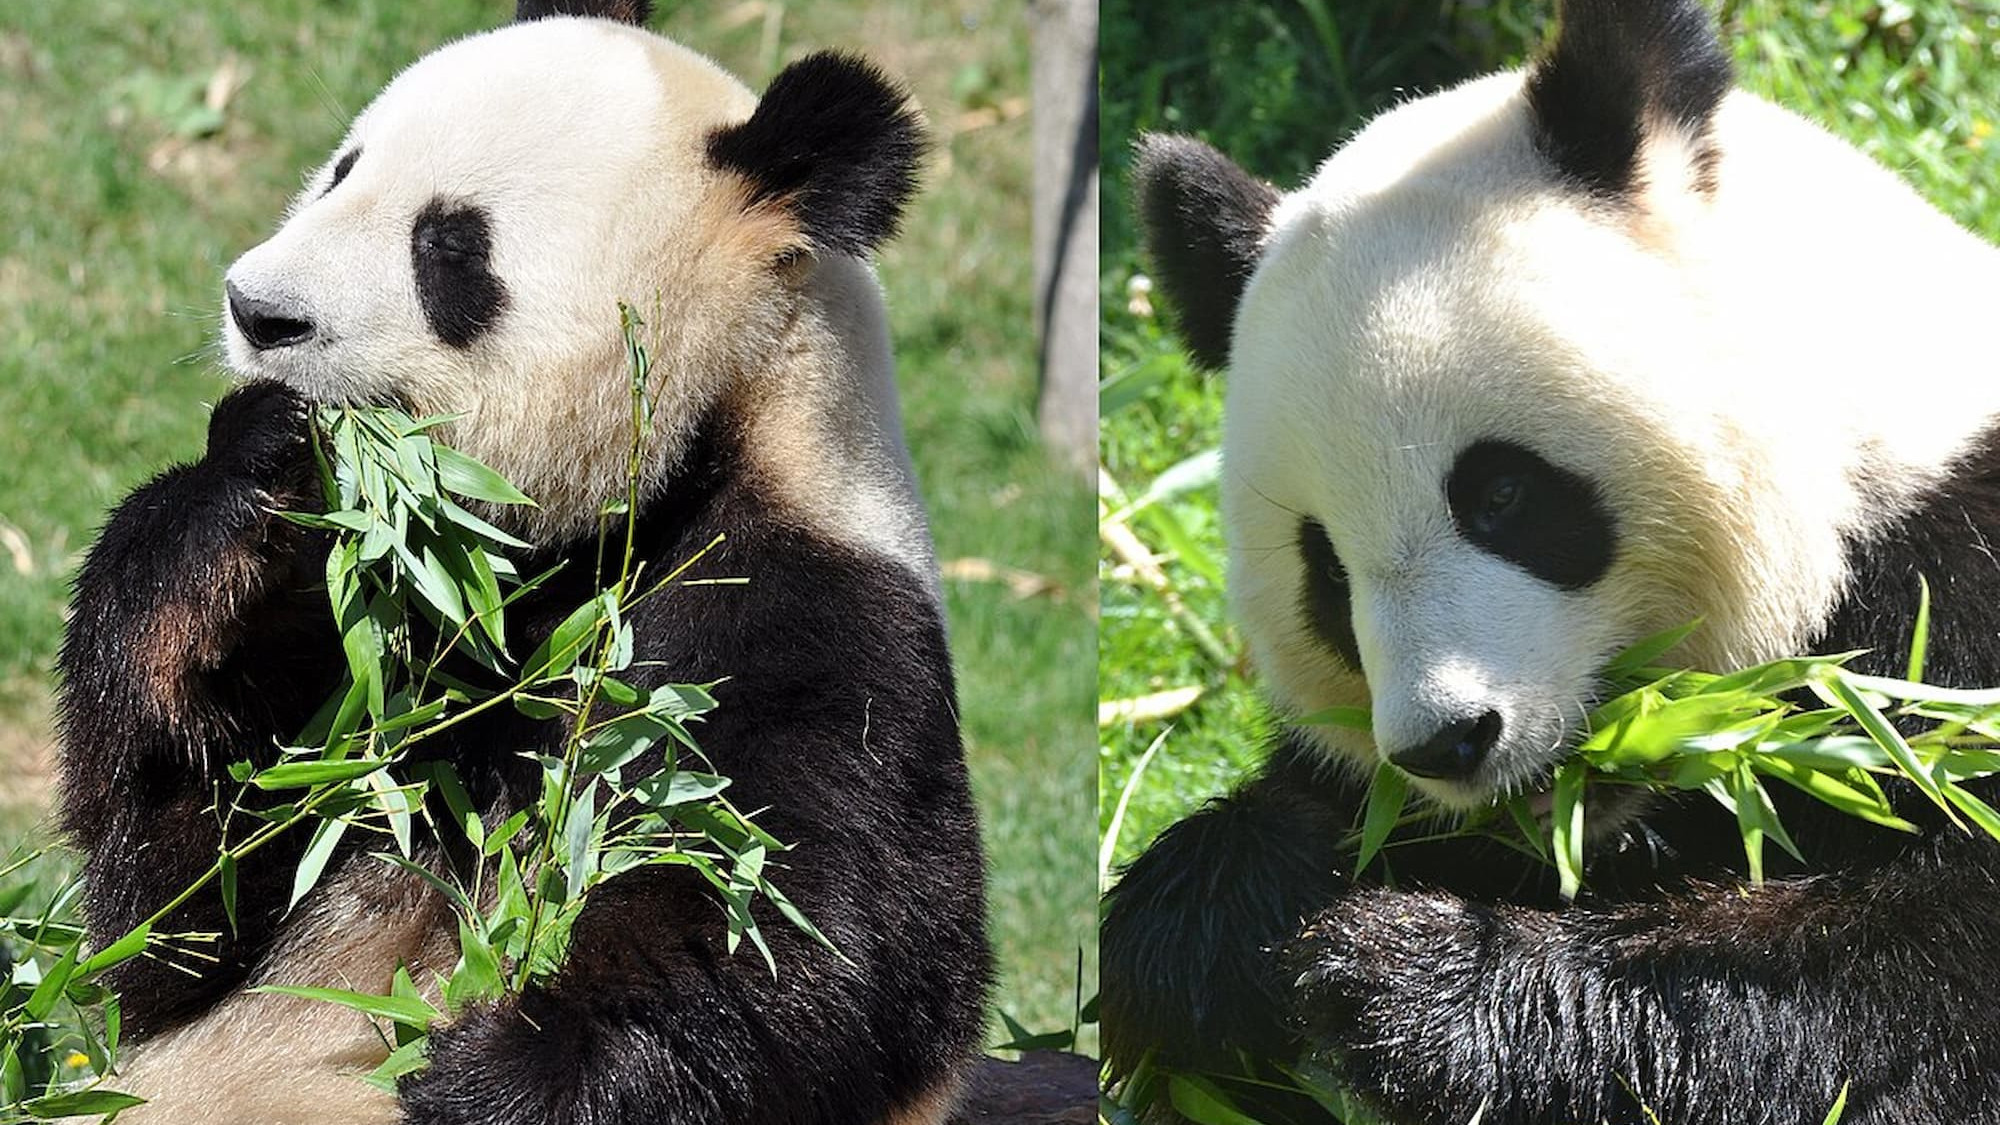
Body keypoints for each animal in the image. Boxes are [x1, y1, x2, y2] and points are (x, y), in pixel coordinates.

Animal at [54, 2, 989, 1122]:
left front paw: (477, 1073)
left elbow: (807, 940)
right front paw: (255, 477)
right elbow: (177, 912)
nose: (257, 310)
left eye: (448, 247)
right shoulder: (386, 657)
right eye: (342, 171)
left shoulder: (810, 619)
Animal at [1102, 0, 2000, 1122]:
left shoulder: (1948, 596)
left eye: (1499, 494)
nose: (1446, 743)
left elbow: (1901, 970)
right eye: (1326, 573)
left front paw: (1411, 985)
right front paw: (1227, 920)